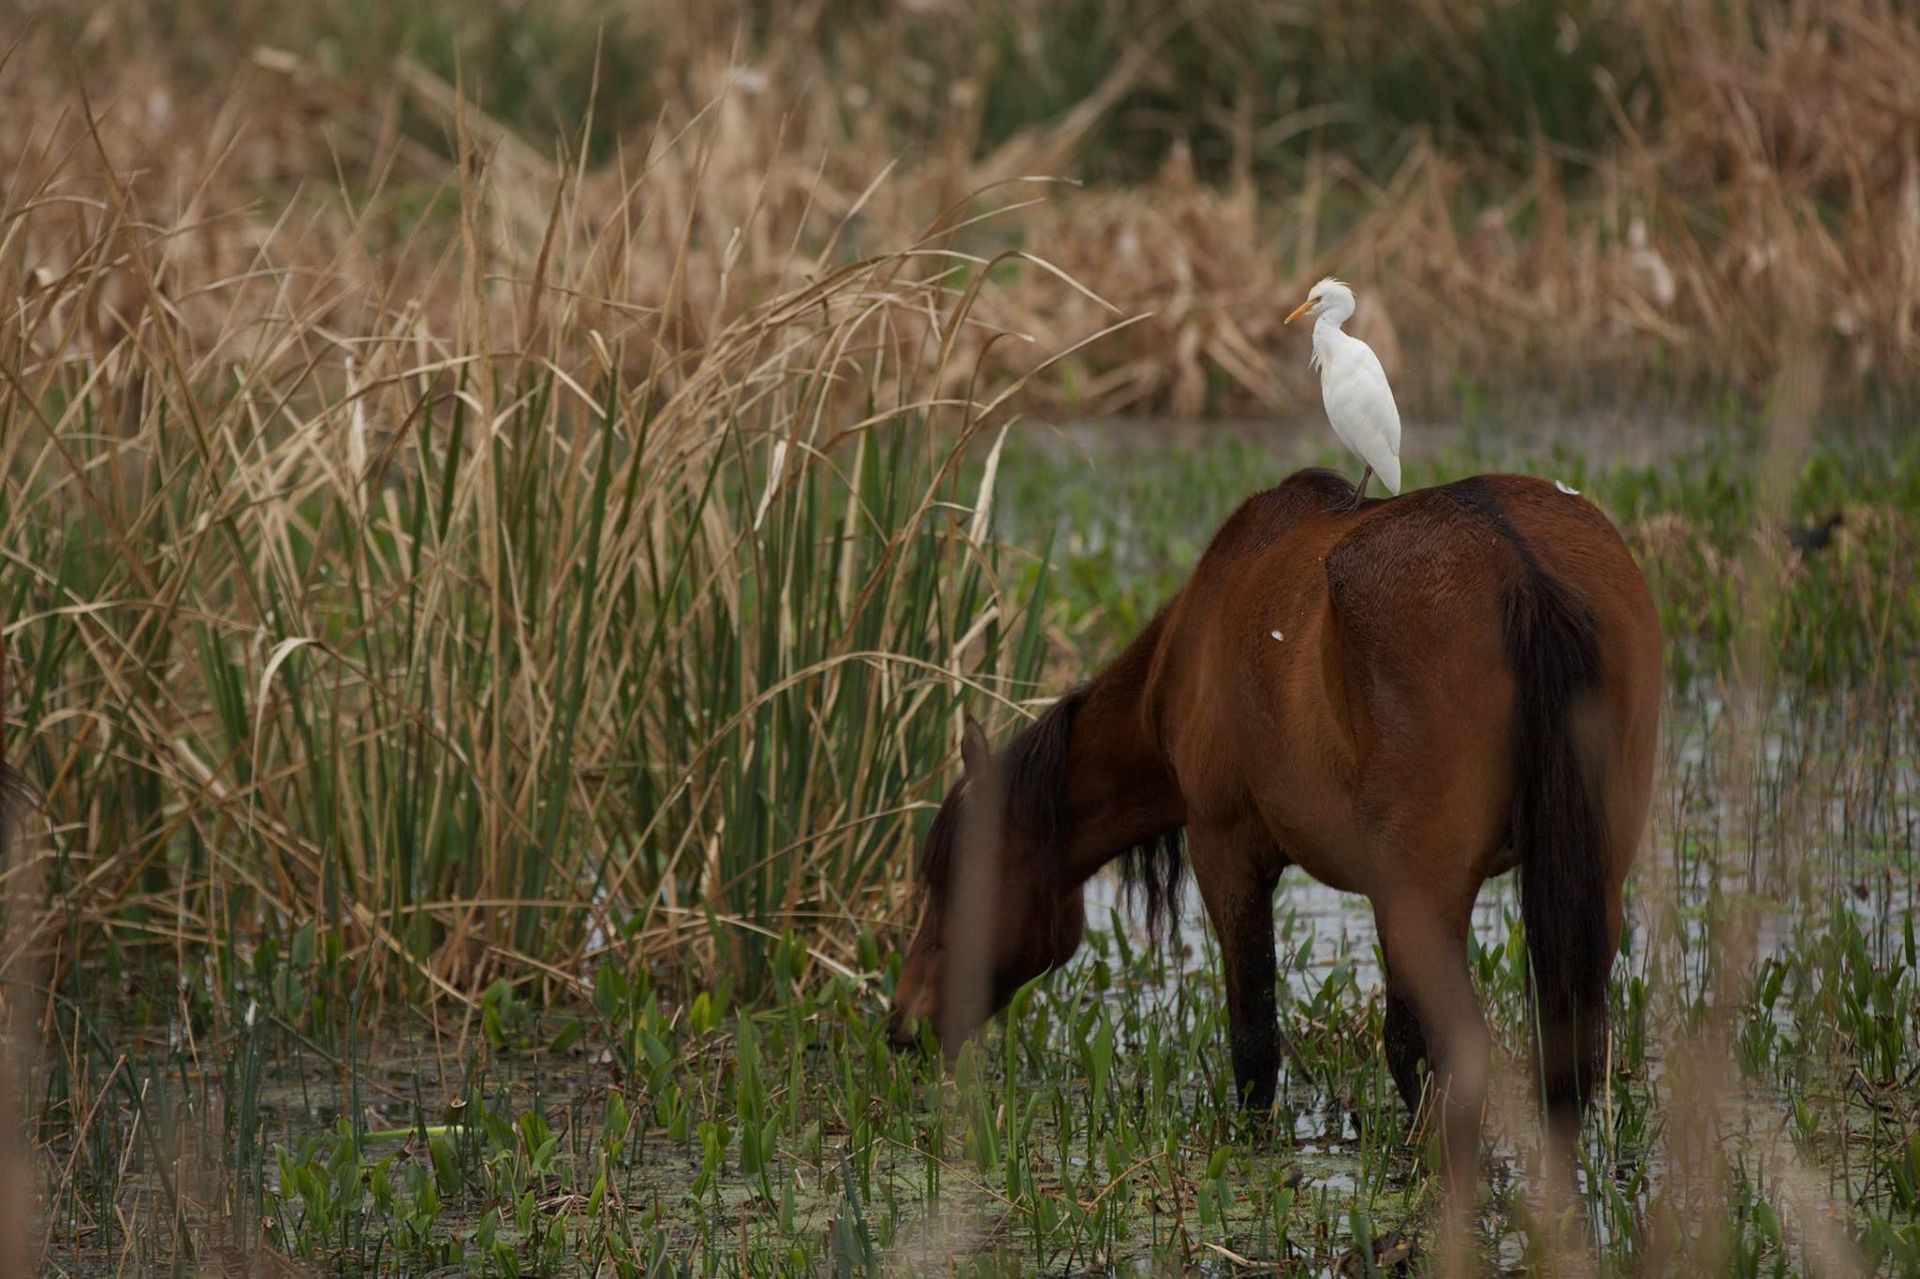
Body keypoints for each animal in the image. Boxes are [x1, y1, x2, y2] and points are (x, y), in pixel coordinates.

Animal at [888, 469, 1662, 1191]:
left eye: (952, 882)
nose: (902, 1025)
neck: (1189, 650)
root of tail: (1519, 566)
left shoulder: (1227, 850)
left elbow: (1257, 1042)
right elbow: (1401, 1045)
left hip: (1425, 894)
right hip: (1581, 886)